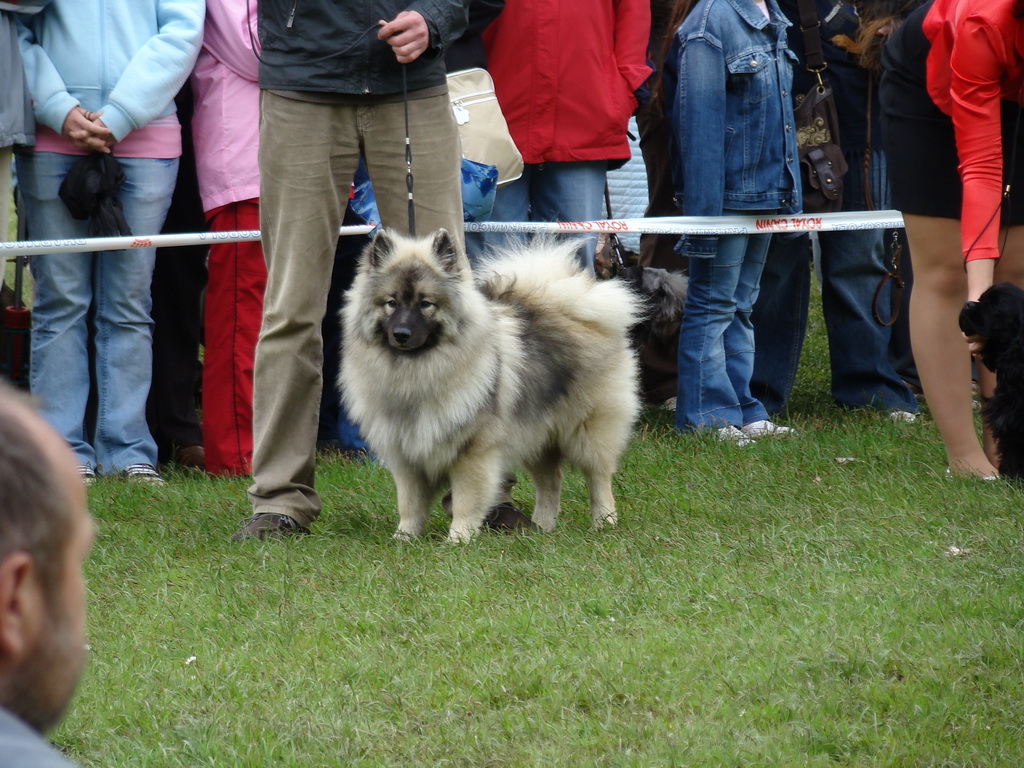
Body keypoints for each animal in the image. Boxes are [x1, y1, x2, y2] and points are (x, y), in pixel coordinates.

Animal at [342, 227, 638, 540]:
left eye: (426, 303)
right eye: (391, 303)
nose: (401, 333)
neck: (417, 372)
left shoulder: (473, 452)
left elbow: (466, 501)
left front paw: (458, 538)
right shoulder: (407, 457)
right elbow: (409, 504)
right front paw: (405, 538)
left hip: (587, 430)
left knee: (598, 477)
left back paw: (604, 521)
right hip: (536, 433)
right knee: (550, 482)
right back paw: (541, 528)